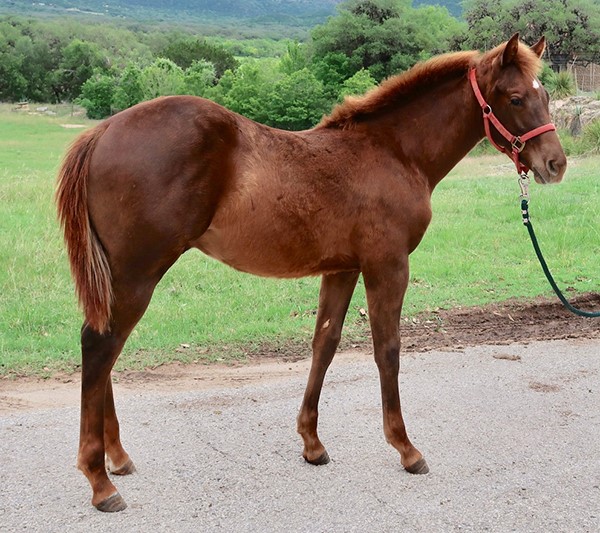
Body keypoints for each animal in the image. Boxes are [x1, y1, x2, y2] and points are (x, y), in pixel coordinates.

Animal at [56, 34, 568, 512]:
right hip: (139, 272)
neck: (394, 153)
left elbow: (325, 342)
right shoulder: (387, 265)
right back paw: (100, 481)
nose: (555, 164)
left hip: (123, 275)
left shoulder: (342, 269)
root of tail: (103, 130)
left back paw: (118, 458)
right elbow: (387, 350)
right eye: (515, 98)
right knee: (99, 346)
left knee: (105, 349)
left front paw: (312, 443)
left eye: (545, 94)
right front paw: (405, 448)